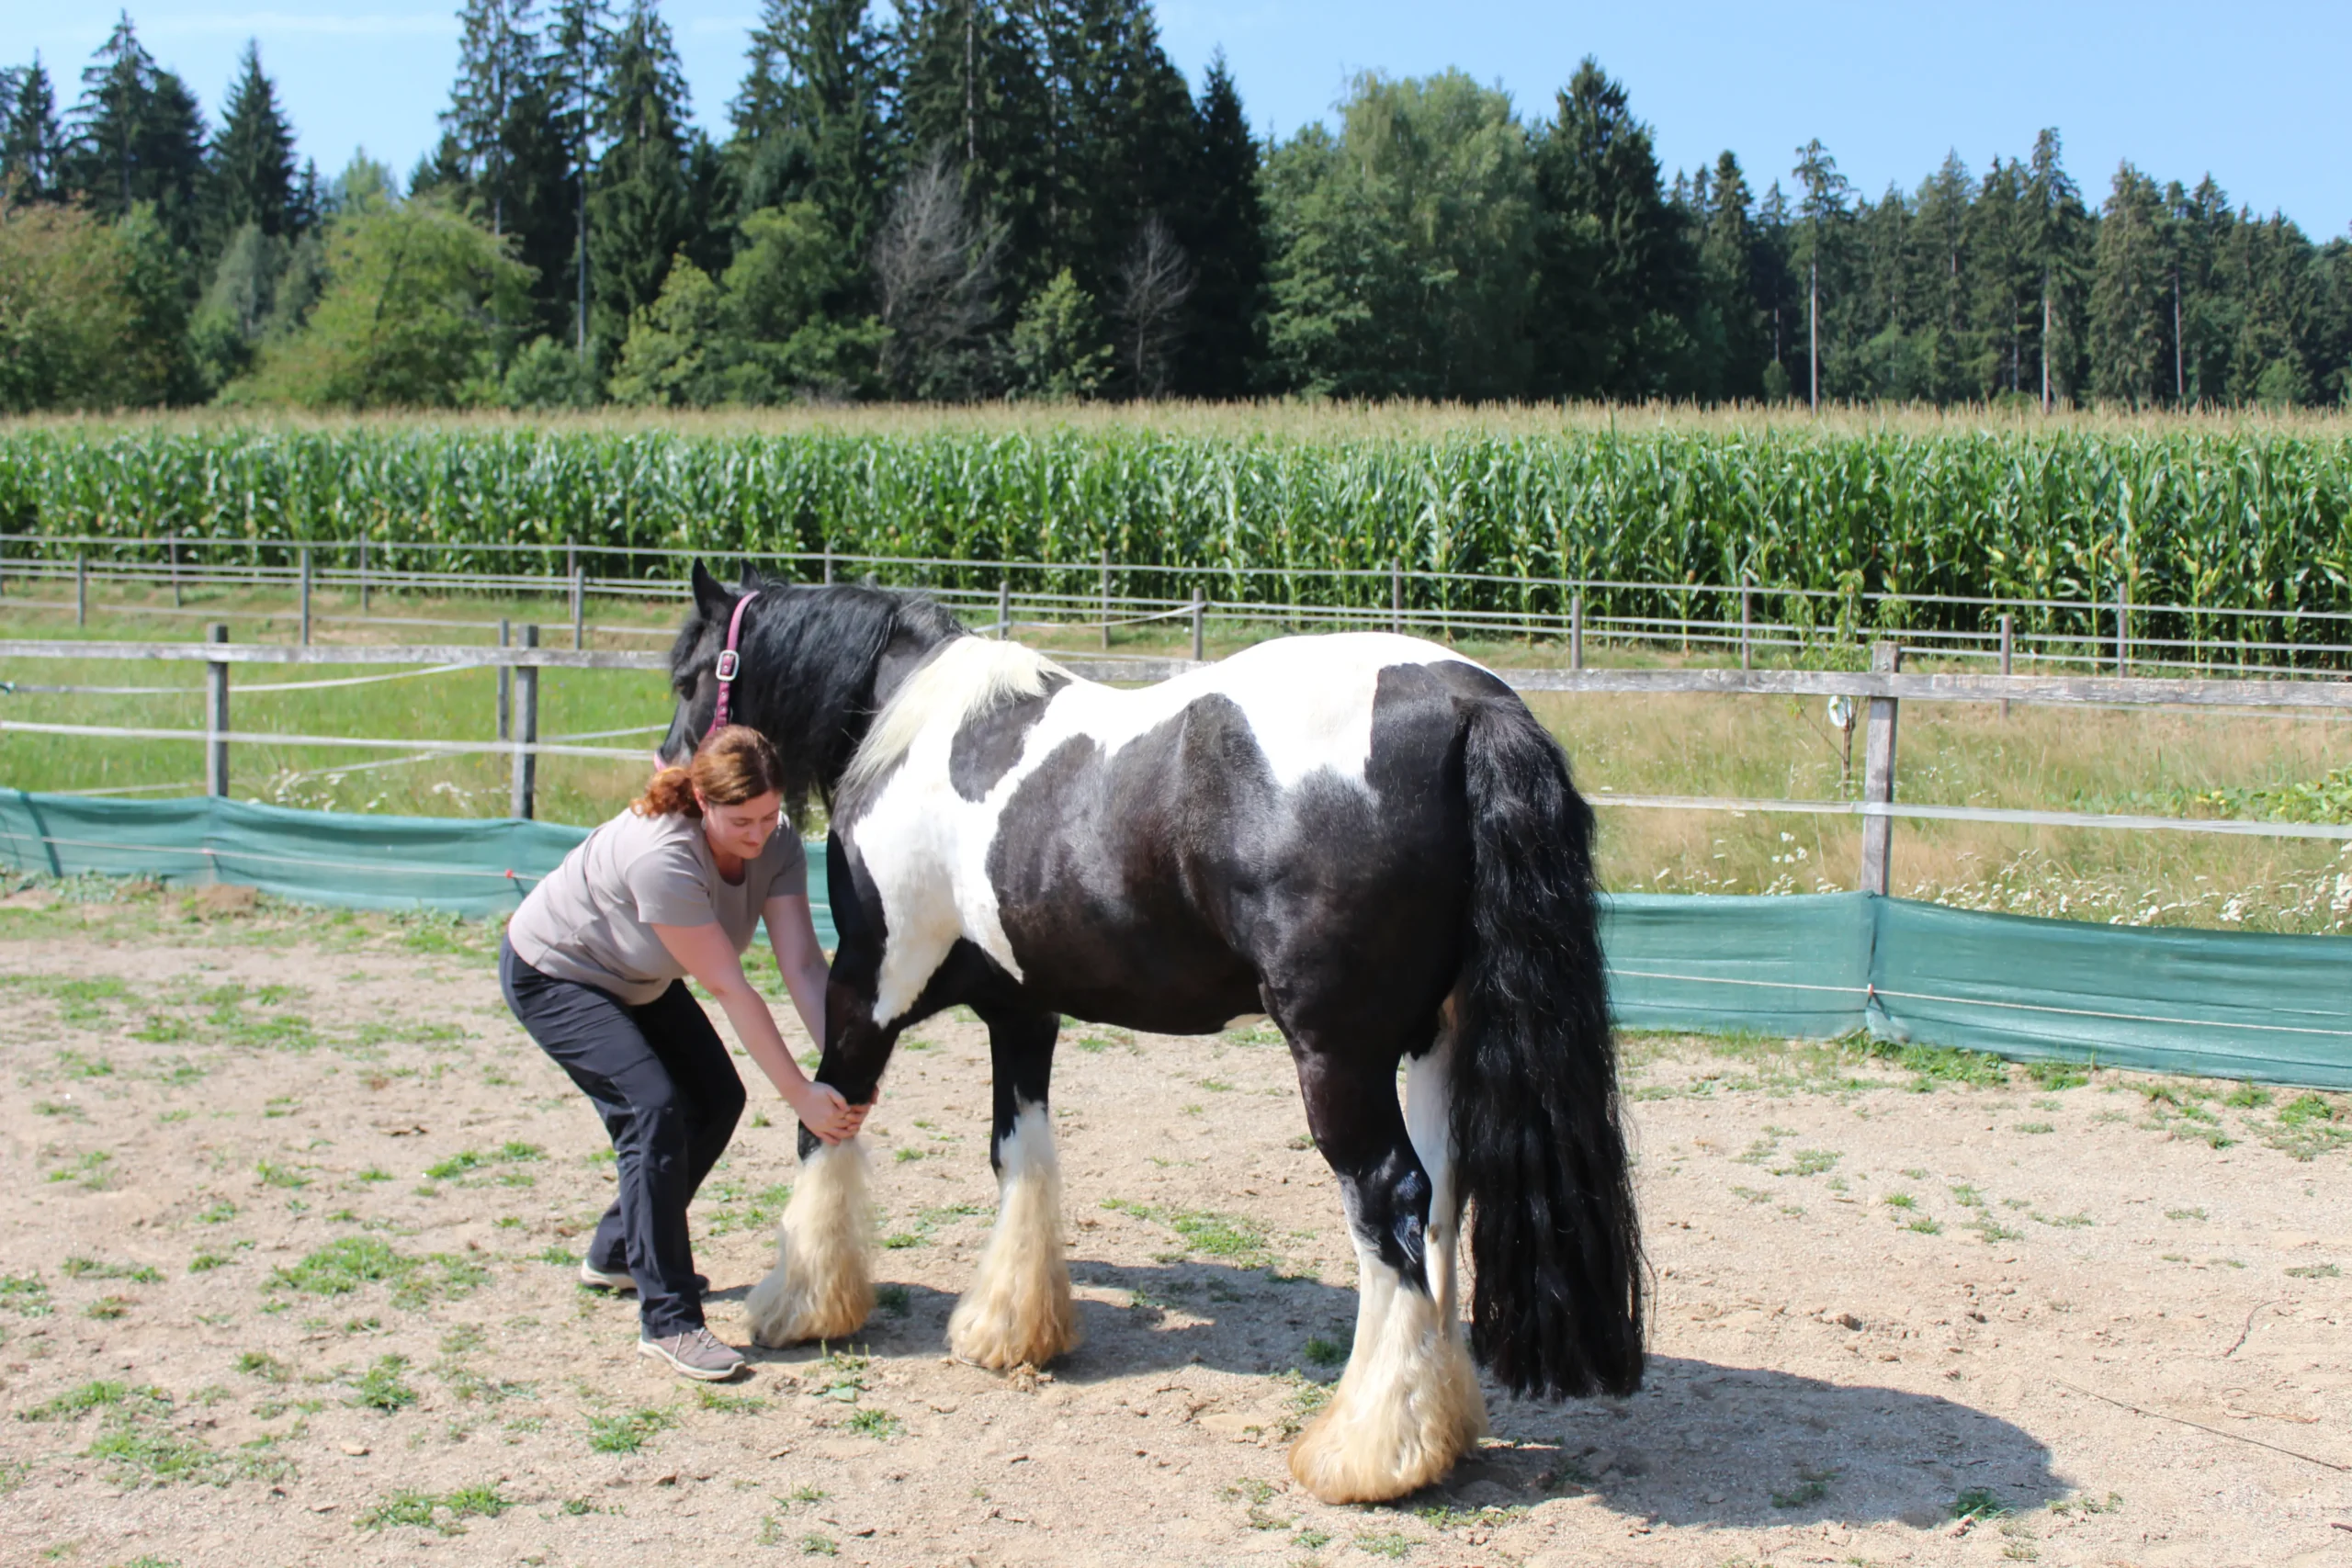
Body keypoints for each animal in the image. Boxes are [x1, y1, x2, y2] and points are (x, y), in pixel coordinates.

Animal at [657, 562, 1643, 1504]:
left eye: (690, 675)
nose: (672, 774)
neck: (919, 726)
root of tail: (1468, 700)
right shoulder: (1024, 1012)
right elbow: (1019, 1154)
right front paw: (1013, 1328)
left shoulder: (869, 991)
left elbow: (823, 1125)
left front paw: (800, 1304)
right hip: (1436, 1043)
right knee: (1441, 1199)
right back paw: (1440, 1428)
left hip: (1341, 1057)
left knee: (1390, 1199)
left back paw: (1364, 1455)